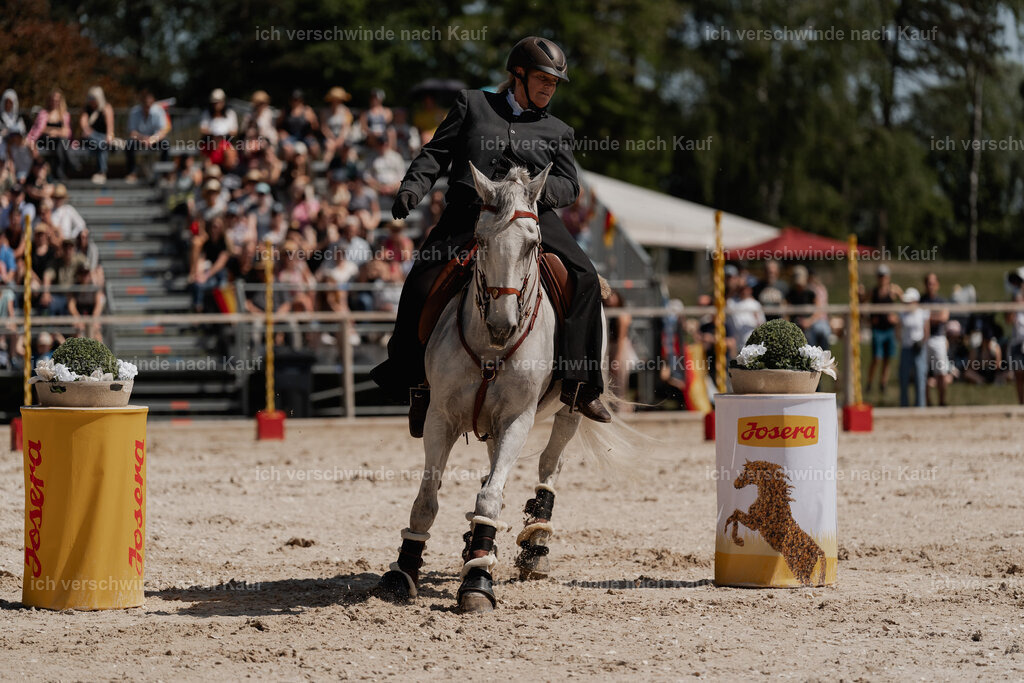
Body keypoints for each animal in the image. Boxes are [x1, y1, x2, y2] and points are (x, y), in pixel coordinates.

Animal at [378, 162, 622, 612]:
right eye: (481, 240)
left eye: (532, 245)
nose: (502, 324)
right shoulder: (441, 417)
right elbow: (427, 499)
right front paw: (404, 571)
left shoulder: (517, 419)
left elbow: (490, 498)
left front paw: (478, 583)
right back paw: (476, 548)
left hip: (568, 411)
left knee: (550, 465)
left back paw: (535, 545)